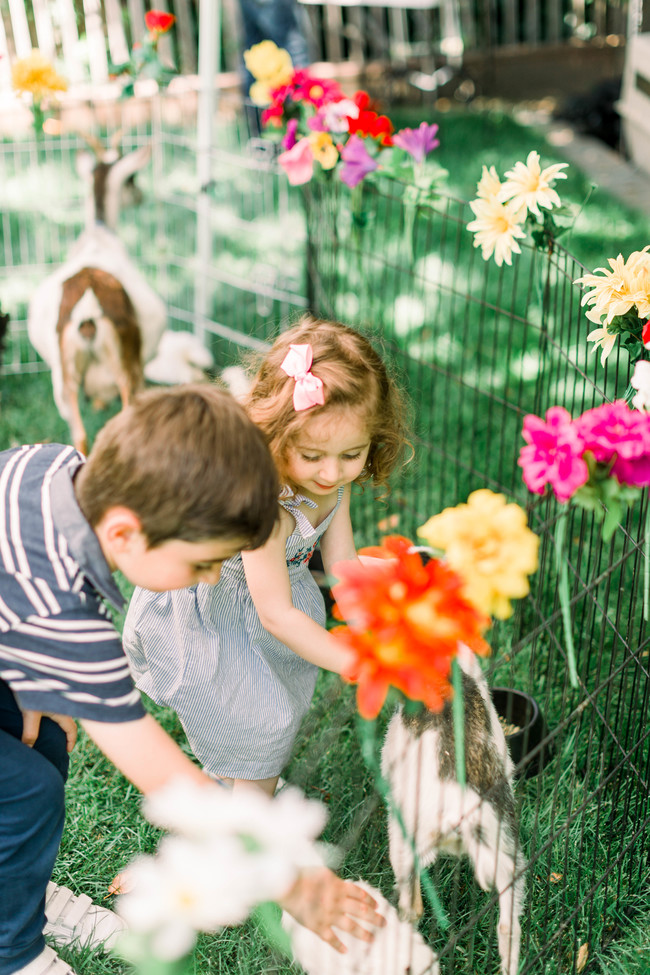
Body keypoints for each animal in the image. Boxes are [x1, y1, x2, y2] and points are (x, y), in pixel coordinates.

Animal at [27, 132, 167, 456]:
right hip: (127, 369)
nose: (140, 196)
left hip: (63, 379)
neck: (99, 235)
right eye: (131, 179)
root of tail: (89, 305)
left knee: (79, 435)